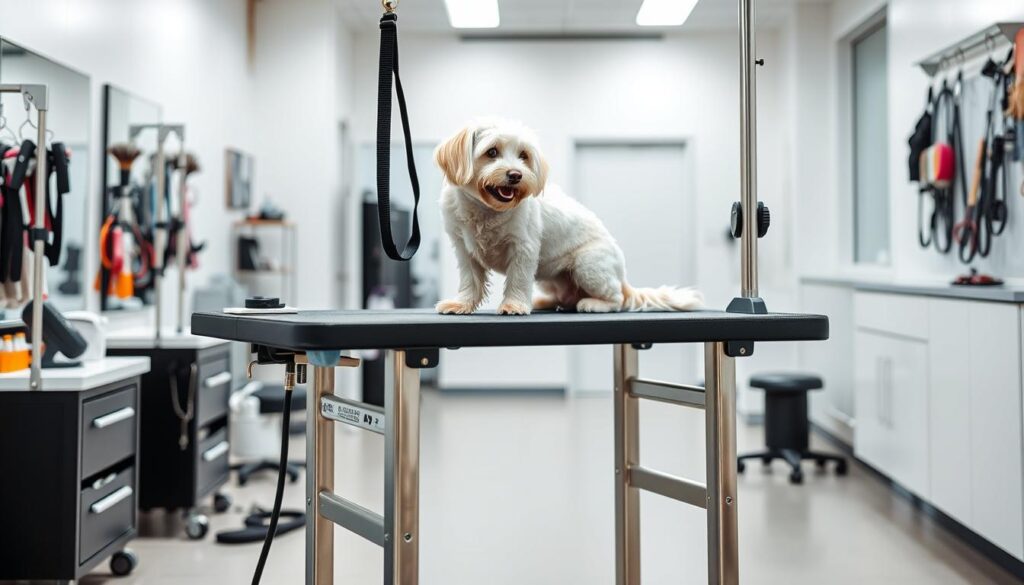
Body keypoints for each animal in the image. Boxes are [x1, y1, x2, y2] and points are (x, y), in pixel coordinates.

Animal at [432, 118, 704, 315]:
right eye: (491, 152)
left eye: (523, 155)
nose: (515, 175)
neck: (487, 210)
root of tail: (623, 277)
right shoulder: (464, 250)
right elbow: (470, 281)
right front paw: (461, 305)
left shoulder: (524, 249)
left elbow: (518, 279)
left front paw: (514, 305)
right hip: (550, 276)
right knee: (565, 297)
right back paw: (545, 301)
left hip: (588, 265)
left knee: (617, 299)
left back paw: (593, 304)